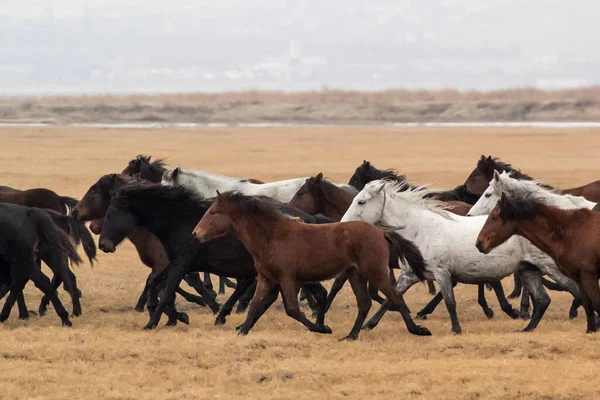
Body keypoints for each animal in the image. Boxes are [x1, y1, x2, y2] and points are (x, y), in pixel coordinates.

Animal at [192, 191, 432, 340]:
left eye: (213, 212)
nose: (196, 233)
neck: (272, 236)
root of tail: (381, 232)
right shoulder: (267, 278)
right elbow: (254, 305)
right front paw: (242, 330)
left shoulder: (288, 278)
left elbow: (292, 309)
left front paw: (321, 328)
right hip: (355, 273)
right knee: (364, 303)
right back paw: (351, 335)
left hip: (374, 271)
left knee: (395, 298)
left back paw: (417, 330)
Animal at [342, 180, 580, 332]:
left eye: (361, 201)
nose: (343, 224)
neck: (421, 229)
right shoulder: (409, 276)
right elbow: (391, 299)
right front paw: (369, 325)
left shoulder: (441, 273)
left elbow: (449, 302)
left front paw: (456, 329)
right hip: (529, 269)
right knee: (543, 300)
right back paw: (529, 327)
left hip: (550, 267)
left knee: (574, 288)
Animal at [474, 192, 600, 332]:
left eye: (494, 217)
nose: (479, 243)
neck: (571, 233)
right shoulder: (579, 278)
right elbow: (588, 305)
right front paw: (590, 330)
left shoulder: (589, 276)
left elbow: (596, 303)